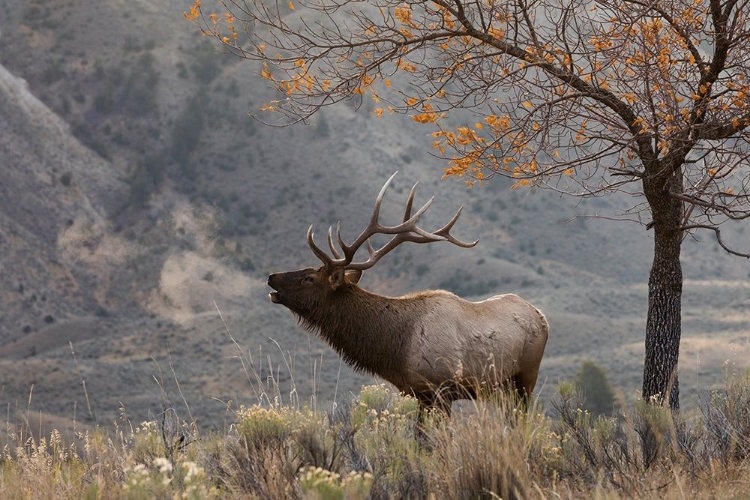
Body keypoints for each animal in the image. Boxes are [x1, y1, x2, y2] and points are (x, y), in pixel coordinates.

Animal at [268, 172, 548, 414]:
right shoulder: (417, 393)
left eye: (309, 278)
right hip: (503, 389)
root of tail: (541, 316)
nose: (271, 277)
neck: (395, 350)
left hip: (526, 377)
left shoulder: (441, 389)